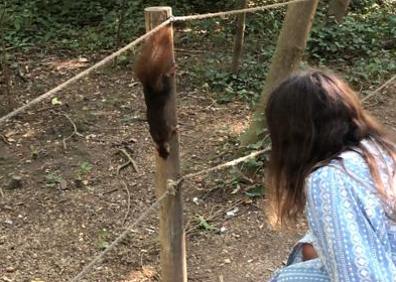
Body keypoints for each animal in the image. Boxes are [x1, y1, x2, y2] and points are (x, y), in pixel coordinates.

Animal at [134, 26, 176, 159]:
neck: (160, 140)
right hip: (163, 89)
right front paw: (175, 130)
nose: (166, 157)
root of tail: (151, 87)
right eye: (163, 154)